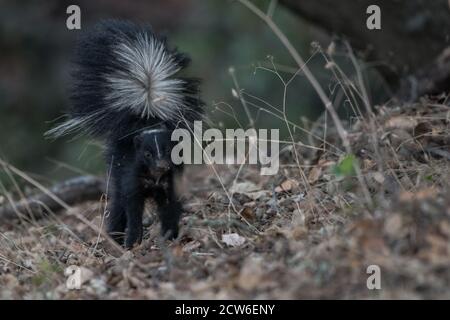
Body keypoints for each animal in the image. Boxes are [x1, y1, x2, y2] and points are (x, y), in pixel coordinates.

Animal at [47, 20, 204, 249]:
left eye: (168, 150)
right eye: (147, 154)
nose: (161, 165)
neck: (153, 177)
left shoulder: (169, 181)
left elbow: (169, 206)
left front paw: (170, 234)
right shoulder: (132, 178)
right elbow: (132, 209)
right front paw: (132, 241)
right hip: (117, 170)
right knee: (118, 204)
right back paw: (115, 236)